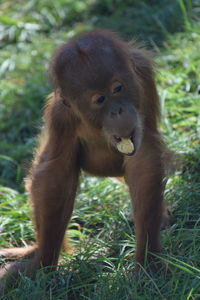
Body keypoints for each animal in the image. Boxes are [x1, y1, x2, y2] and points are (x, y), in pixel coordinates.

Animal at [0, 28, 169, 286]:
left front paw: (148, 261)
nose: (118, 111)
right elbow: (55, 173)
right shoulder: (61, 117)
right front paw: (43, 263)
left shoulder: (142, 85)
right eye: (100, 99)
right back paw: (32, 251)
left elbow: (144, 159)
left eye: (118, 88)